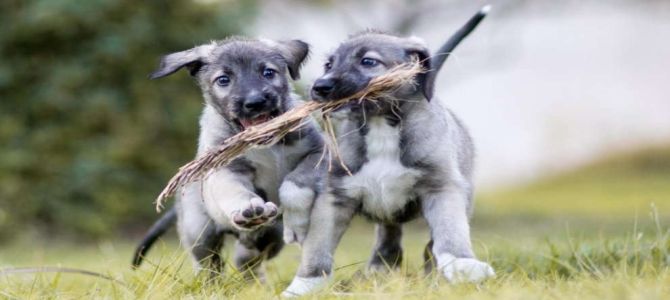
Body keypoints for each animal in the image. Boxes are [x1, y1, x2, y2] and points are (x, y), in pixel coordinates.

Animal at [135, 38, 324, 278]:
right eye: (223, 80)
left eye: (268, 72)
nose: (255, 101)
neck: (267, 146)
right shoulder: (226, 170)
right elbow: (235, 191)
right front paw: (248, 208)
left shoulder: (317, 151)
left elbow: (297, 179)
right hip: (199, 231)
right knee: (209, 262)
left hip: (272, 238)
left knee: (248, 256)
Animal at [284, 6, 494, 296]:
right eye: (329, 65)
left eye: (368, 61)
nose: (319, 87)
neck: (380, 124)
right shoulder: (335, 196)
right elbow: (317, 247)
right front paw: (303, 285)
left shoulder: (442, 188)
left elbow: (449, 232)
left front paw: (462, 264)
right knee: (389, 237)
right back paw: (379, 270)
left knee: (428, 245)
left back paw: (430, 274)